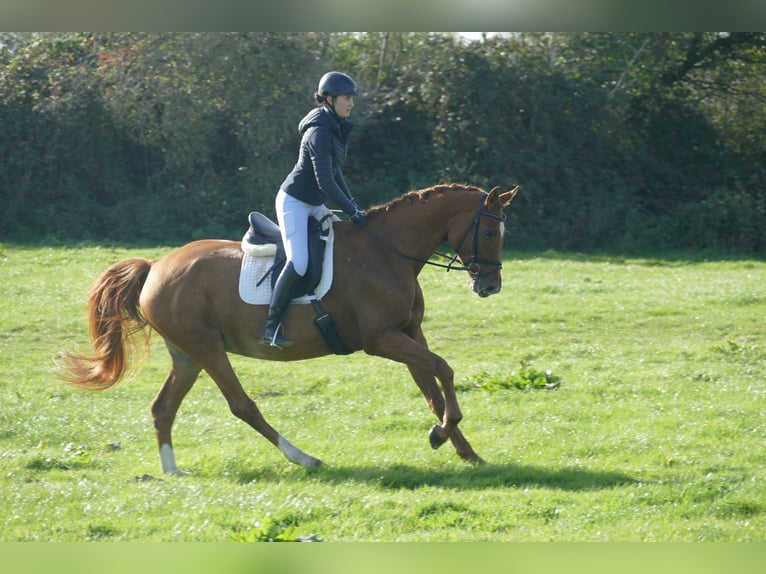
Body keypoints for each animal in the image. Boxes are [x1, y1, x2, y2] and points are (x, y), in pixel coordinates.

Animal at [57, 184, 520, 476]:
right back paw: (305, 459)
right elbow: (443, 371)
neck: (388, 253)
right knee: (242, 406)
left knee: (163, 408)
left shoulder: (409, 334)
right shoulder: (382, 340)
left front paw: (461, 448)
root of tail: (156, 266)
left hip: (187, 355)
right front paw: (443, 432)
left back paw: (172, 472)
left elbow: (432, 388)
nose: (490, 286)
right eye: (490, 230)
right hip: (208, 350)